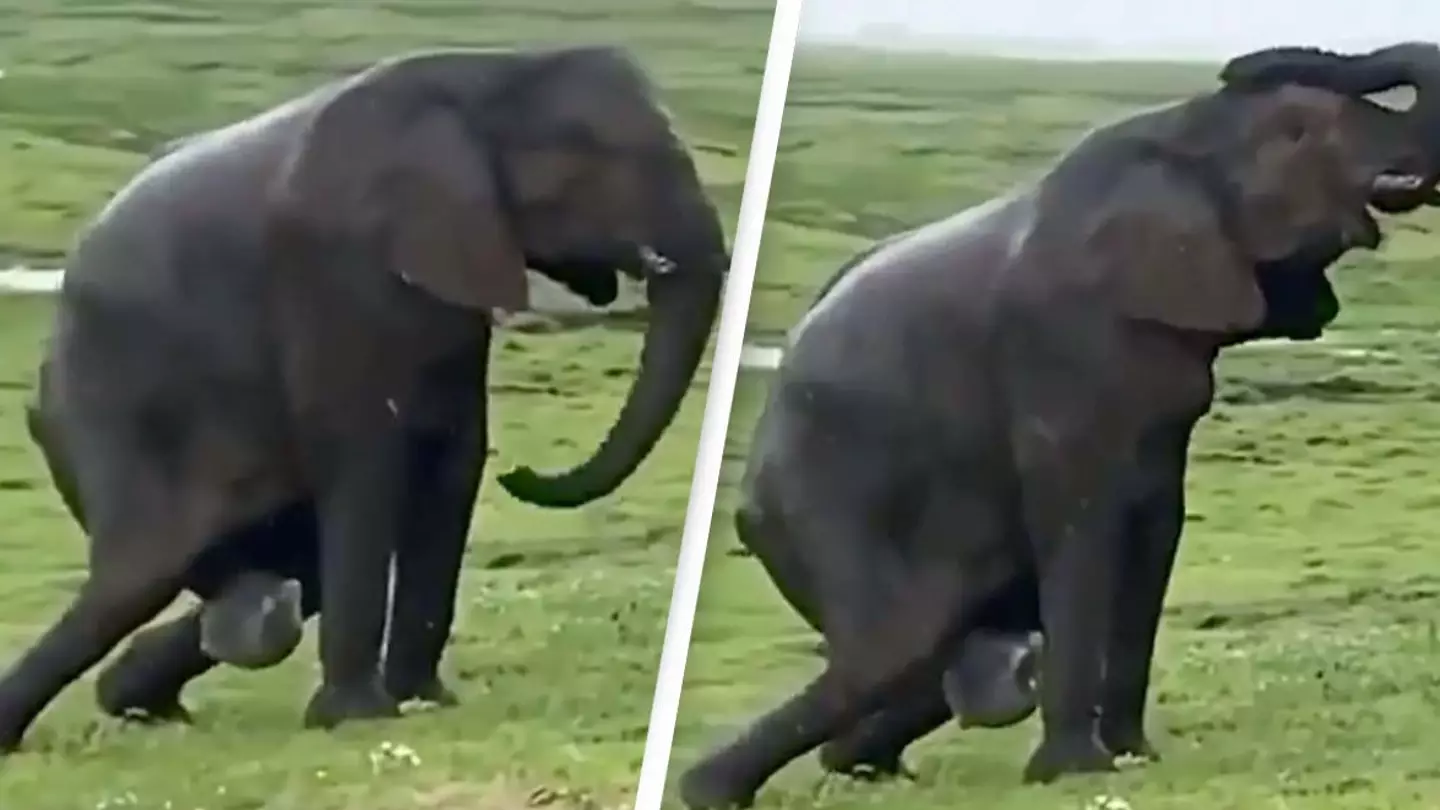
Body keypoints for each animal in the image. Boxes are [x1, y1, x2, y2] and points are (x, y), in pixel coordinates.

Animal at [0, 44, 729, 752]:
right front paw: (357, 718)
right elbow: (369, 461)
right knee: (139, 574)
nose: (523, 474)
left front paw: (425, 702)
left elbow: (452, 461)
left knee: (279, 570)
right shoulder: (335, 268)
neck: (490, 72)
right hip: (109, 417)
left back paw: (151, 689)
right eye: (612, 159)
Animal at [677, 43, 1440, 810]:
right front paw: (1077, 772)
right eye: (1301, 132)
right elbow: (1082, 520)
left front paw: (1135, 757)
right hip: (819, 496)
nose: (1238, 64)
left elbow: (1155, 527)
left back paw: (860, 760)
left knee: (934, 655)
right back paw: (714, 788)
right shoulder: (1057, 351)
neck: (1179, 133)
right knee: (899, 643)